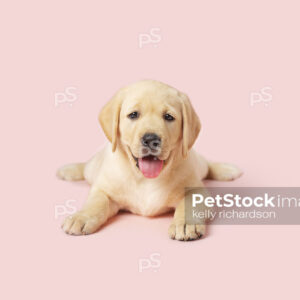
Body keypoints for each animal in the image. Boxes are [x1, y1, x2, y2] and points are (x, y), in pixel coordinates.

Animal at [57, 79, 243, 239]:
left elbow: (189, 204)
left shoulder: (197, 191)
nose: (151, 139)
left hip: (197, 162)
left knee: (207, 165)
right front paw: (81, 217)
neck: (144, 178)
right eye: (133, 115)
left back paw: (227, 170)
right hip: (92, 168)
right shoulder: (103, 190)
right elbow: (96, 203)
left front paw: (185, 224)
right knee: (85, 167)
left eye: (169, 117)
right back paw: (69, 170)